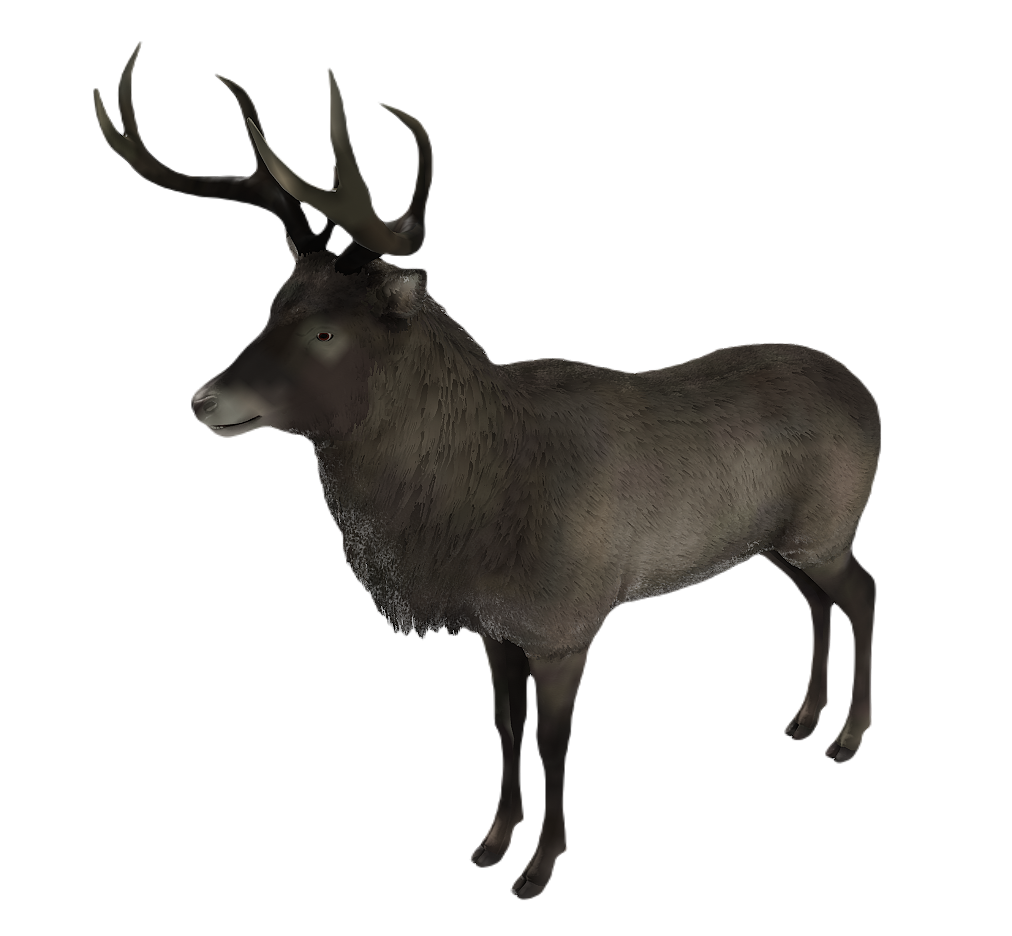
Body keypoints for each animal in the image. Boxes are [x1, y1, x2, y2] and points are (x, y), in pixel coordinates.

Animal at [95, 43, 880, 900]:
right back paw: (803, 719)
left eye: (327, 332)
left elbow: (553, 742)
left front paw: (538, 867)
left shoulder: (568, 620)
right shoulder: (495, 626)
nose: (205, 399)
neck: (479, 517)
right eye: (272, 307)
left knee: (863, 591)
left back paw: (847, 736)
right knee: (817, 602)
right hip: (783, 543)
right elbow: (504, 729)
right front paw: (491, 842)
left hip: (830, 525)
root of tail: (871, 398)